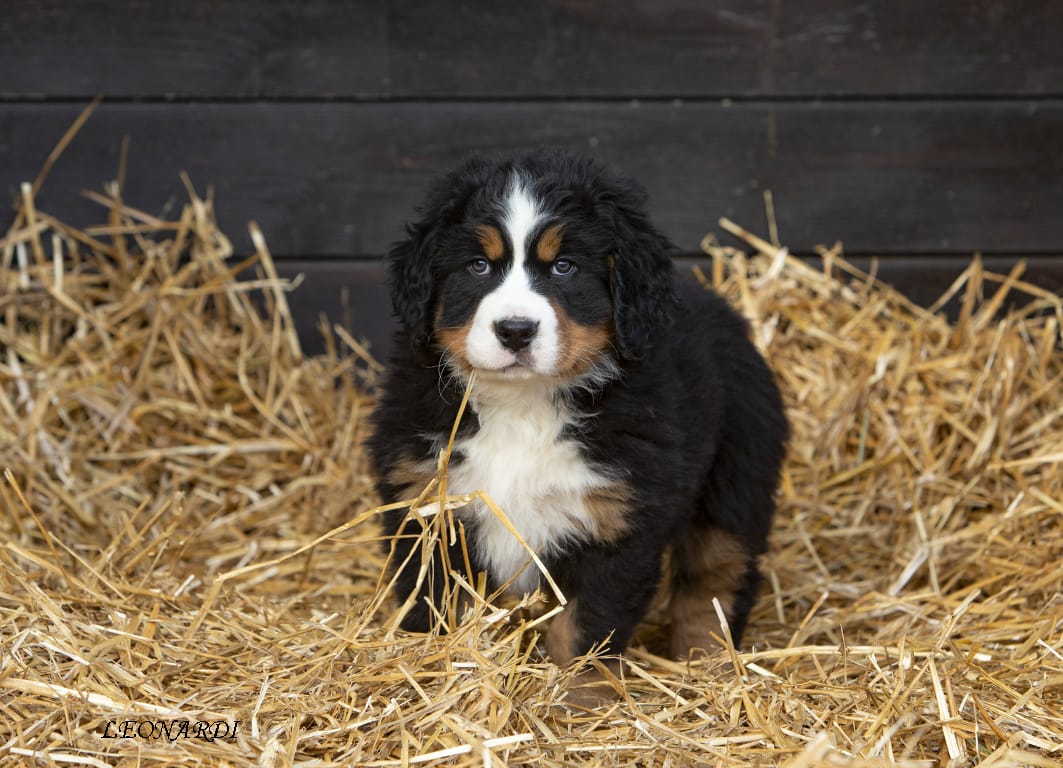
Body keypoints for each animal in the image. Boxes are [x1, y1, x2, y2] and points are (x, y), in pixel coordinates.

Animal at [369, 147, 786, 689]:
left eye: (564, 267)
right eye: (478, 266)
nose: (515, 330)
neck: (521, 406)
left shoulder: (613, 524)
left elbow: (584, 632)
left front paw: (576, 700)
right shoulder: (428, 511)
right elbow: (439, 613)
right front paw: (441, 676)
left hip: (735, 482)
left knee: (716, 578)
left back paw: (707, 667)